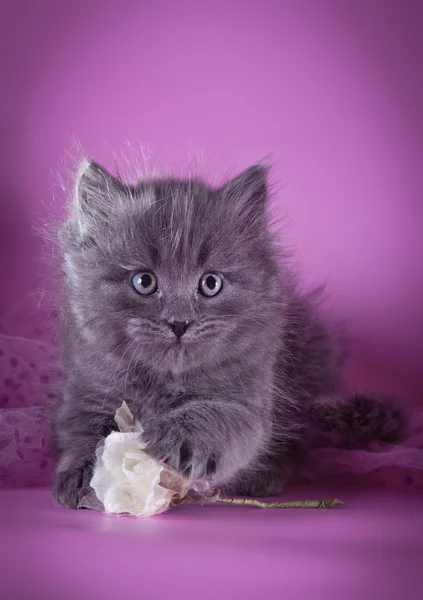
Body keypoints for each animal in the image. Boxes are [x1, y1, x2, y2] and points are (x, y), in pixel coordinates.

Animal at [52, 158, 404, 506]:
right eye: (144, 281)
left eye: (211, 283)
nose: (179, 323)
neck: (165, 382)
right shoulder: (90, 389)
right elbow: (83, 433)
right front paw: (82, 474)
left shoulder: (247, 400)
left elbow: (214, 416)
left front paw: (174, 439)